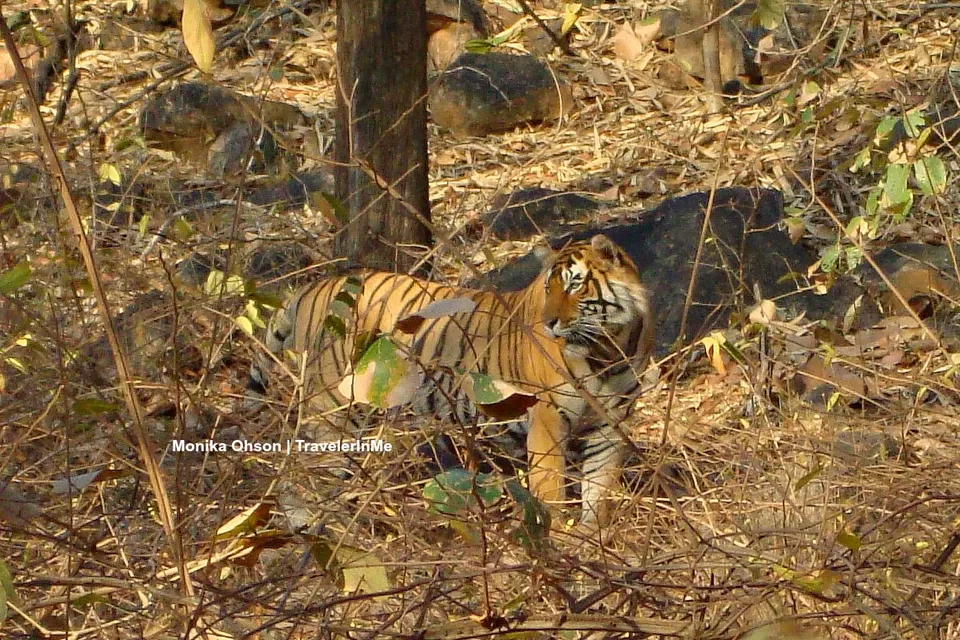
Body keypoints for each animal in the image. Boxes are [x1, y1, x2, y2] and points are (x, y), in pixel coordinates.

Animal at [248, 233, 654, 526]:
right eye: (547, 289)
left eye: (573, 285)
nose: (548, 322)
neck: (606, 349)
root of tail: (312, 287)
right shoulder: (548, 419)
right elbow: (550, 487)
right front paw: (558, 540)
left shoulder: (608, 426)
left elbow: (598, 489)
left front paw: (591, 540)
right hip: (332, 409)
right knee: (302, 467)